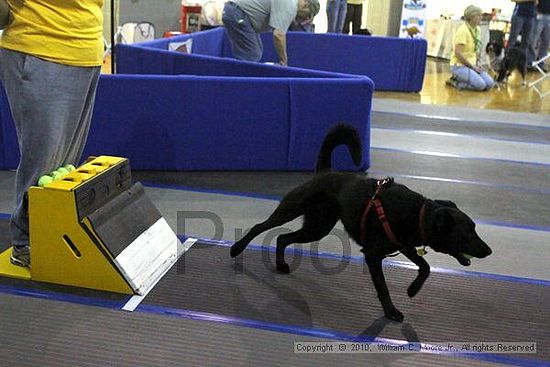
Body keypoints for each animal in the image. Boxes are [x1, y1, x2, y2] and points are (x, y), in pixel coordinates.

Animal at [231, 124, 494, 322]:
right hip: (292, 208)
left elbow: (425, 266)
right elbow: (383, 287)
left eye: (475, 230)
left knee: (282, 237)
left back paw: (281, 264)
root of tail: (324, 172)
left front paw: (413, 289)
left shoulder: (404, 245)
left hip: (317, 227)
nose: (489, 251)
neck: (419, 214)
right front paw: (391, 311)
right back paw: (237, 248)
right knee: (261, 227)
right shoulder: (373, 254)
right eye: (467, 235)